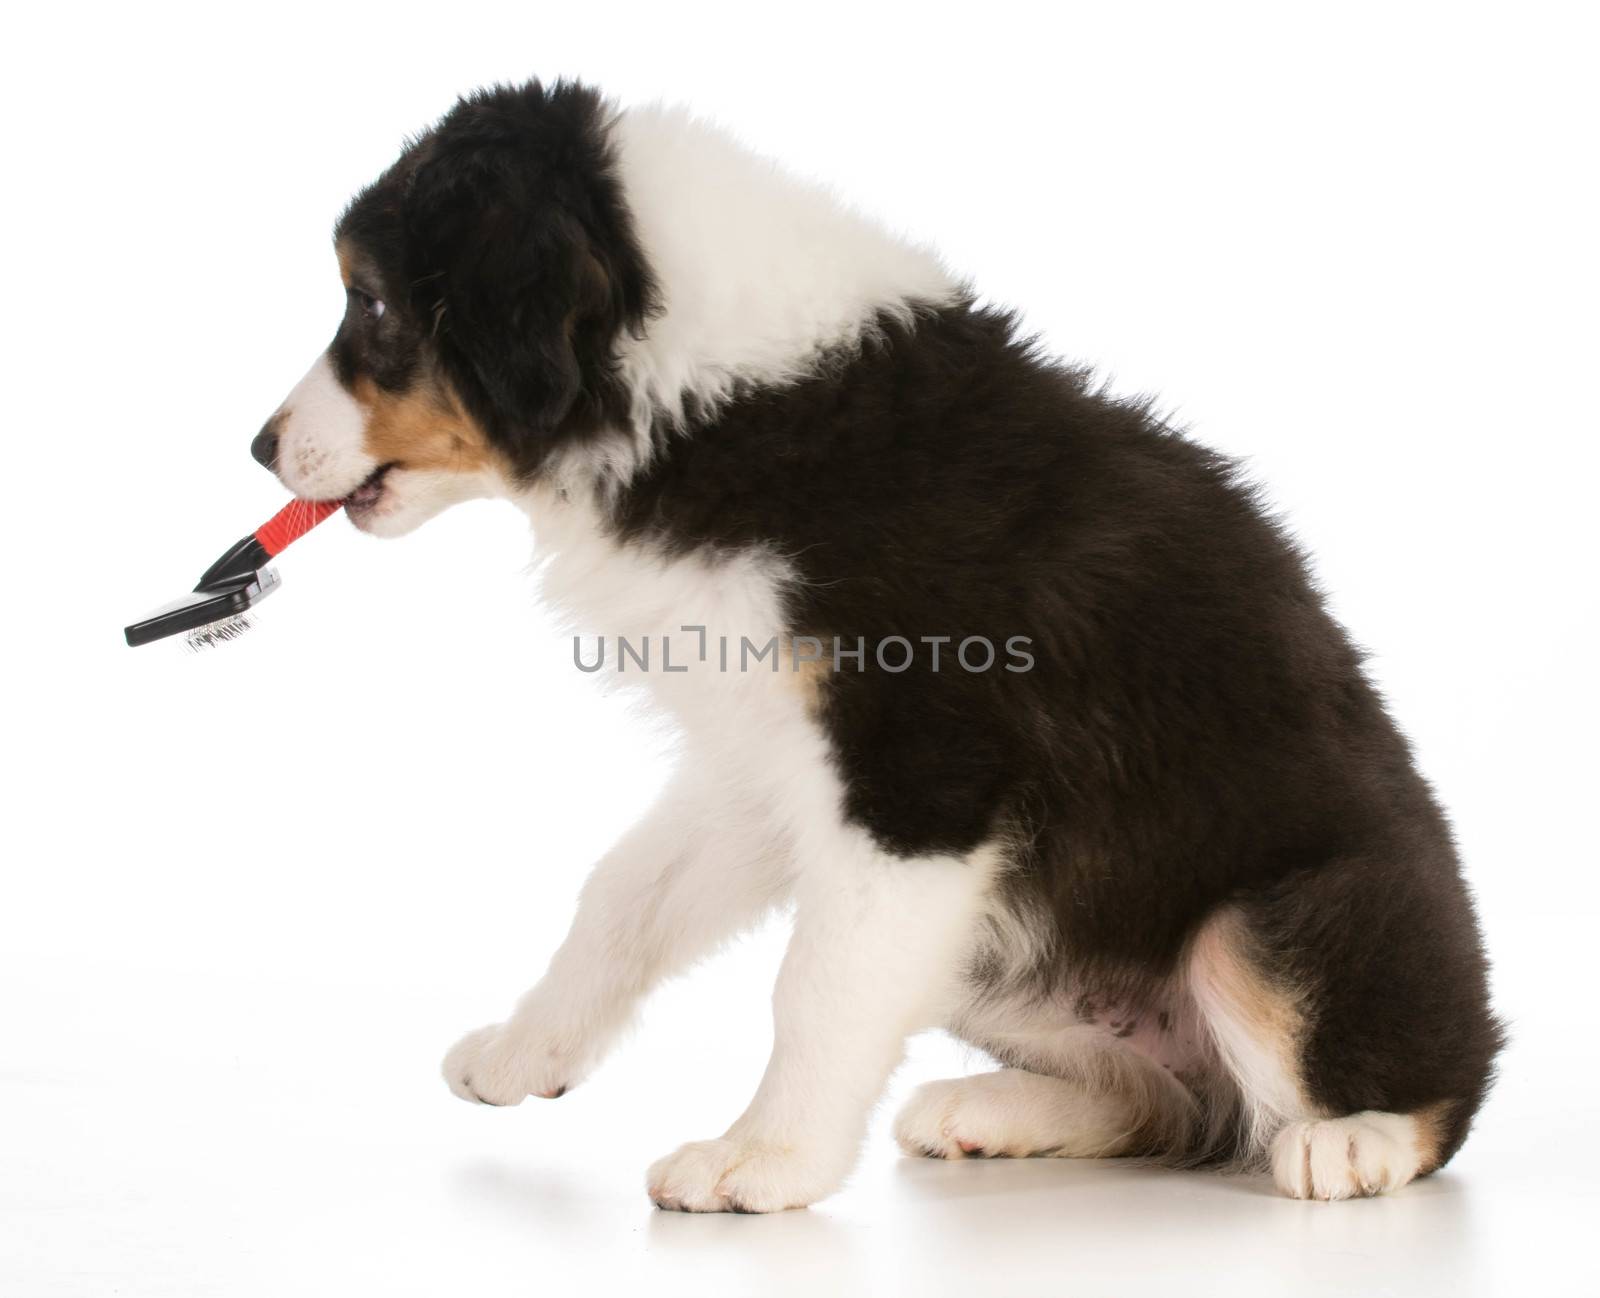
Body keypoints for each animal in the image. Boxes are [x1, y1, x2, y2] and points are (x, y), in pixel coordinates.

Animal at [256, 81, 1504, 1216]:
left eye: (372, 304)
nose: (260, 446)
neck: (718, 398)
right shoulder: (767, 760)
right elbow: (624, 891)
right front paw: (529, 1048)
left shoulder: (921, 778)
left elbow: (815, 980)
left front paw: (761, 1162)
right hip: (988, 945)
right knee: (1179, 1103)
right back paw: (994, 1109)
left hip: (1273, 918)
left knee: (1413, 1088)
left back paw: (1352, 1140)